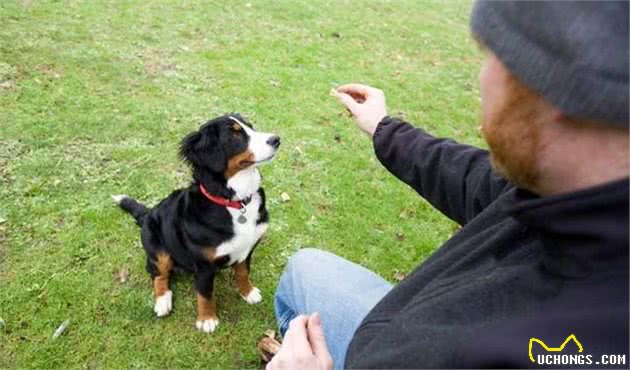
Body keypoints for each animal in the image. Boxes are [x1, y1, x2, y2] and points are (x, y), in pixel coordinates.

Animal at [113, 112, 282, 332]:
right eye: (235, 135)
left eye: (250, 127)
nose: (277, 139)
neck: (235, 202)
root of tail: (148, 213)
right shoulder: (204, 264)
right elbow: (205, 293)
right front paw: (207, 319)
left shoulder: (247, 249)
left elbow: (243, 273)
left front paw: (248, 292)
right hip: (158, 247)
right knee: (157, 273)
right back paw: (163, 301)